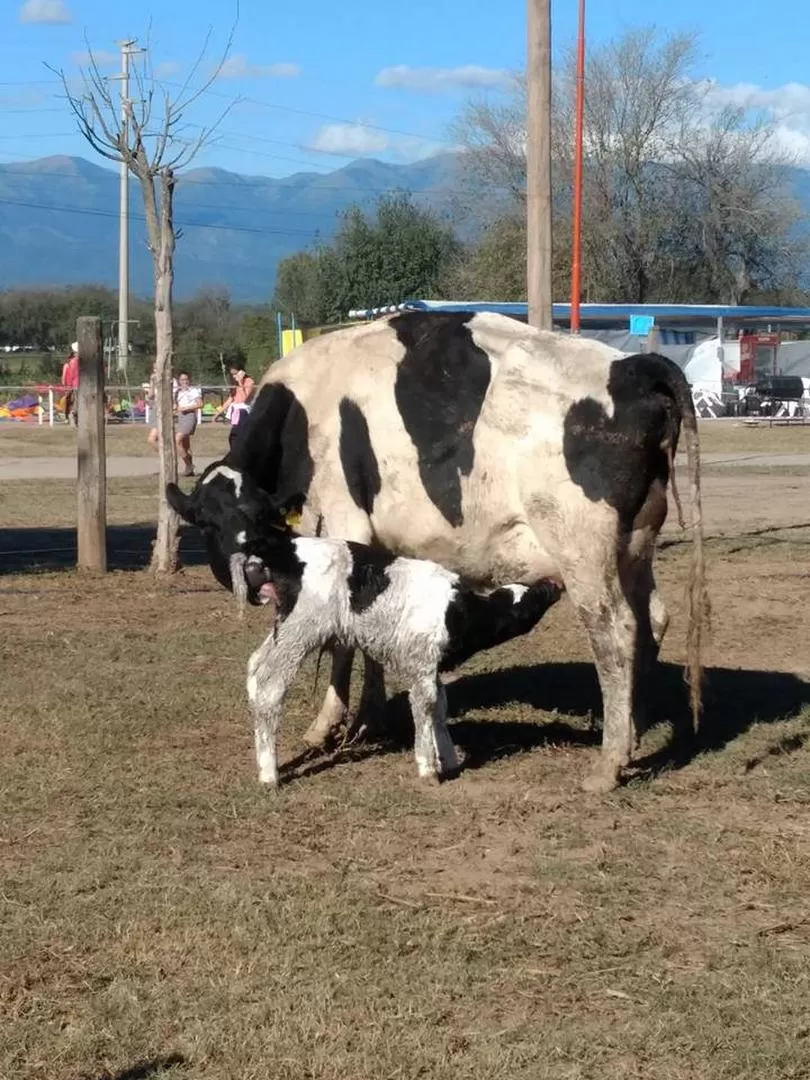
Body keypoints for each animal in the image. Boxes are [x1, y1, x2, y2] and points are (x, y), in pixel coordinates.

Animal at [216, 488, 565, 786]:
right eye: (534, 599)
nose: (553, 585)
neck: (457, 611)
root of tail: (277, 549)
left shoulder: (430, 665)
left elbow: (440, 706)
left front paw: (449, 760)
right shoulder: (421, 665)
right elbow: (425, 706)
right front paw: (428, 769)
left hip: (285, 628)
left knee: (255, 665)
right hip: (300, 631)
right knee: (271, 686)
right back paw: (269, 773)